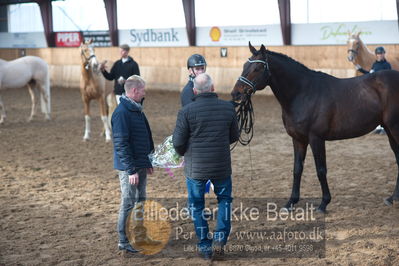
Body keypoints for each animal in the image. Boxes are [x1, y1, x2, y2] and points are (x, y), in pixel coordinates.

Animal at [231, 42, 399, 213]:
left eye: (257, 68)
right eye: (244, 65)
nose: (236, 94)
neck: (303, 93)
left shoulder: (316, 138)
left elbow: (321, 170)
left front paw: (323, 203)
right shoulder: (298, 139)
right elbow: (297, 169)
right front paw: (290, 202)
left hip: (394, 128)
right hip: (389, 130)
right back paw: (392, 198)